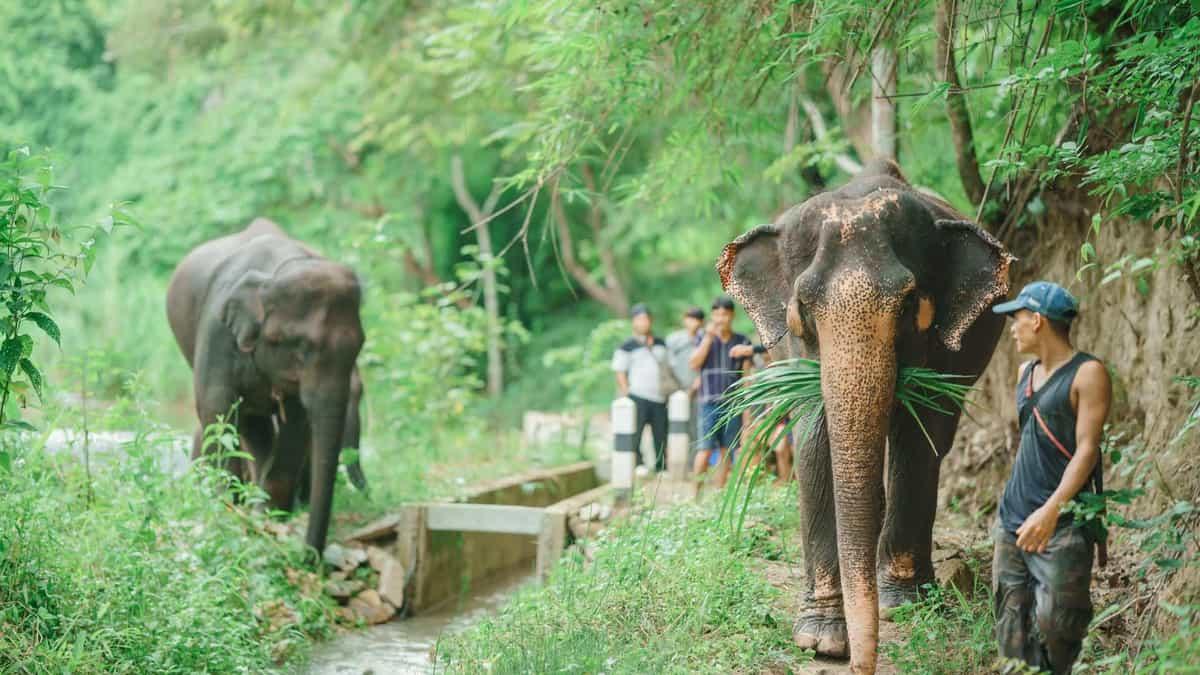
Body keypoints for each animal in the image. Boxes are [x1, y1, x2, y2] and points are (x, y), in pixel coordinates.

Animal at [167, 217, 368, 555]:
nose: (310, 557)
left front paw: (269, 517)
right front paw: (224, 514)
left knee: (256, 427)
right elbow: (216, 408)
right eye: (301, 346)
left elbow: (296, 423)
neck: (275, 274)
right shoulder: (217, 329)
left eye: (360, 346)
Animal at [720, 160, 1014, 673]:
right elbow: (814, 442)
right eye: (803, 306)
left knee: (936, 438)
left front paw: (903, 604)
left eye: (909, 302)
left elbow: (918, 437)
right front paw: (820, 641)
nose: (863, 664)